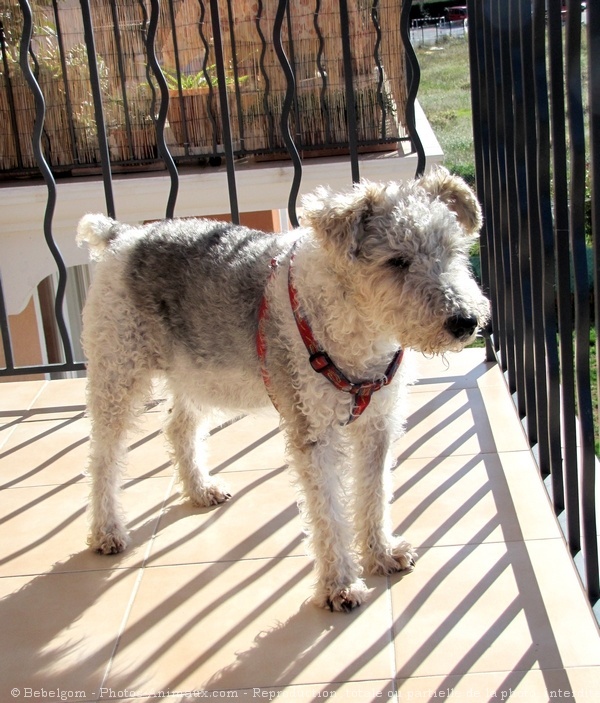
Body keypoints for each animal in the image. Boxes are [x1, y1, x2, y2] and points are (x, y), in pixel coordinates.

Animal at [76, 166, 488, 612]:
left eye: (453, 250)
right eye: (397, 260)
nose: (465, 322)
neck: (356, 322)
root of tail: (121, 235)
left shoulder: (377, 425)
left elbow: (374, 495)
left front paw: (382, 553)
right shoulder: (314, 432)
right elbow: (328, 512)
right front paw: (340, 586)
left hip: (196, 369)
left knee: (179, 427)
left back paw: (201, 489)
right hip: (118, 373)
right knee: (103, 457)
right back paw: (107, 531)